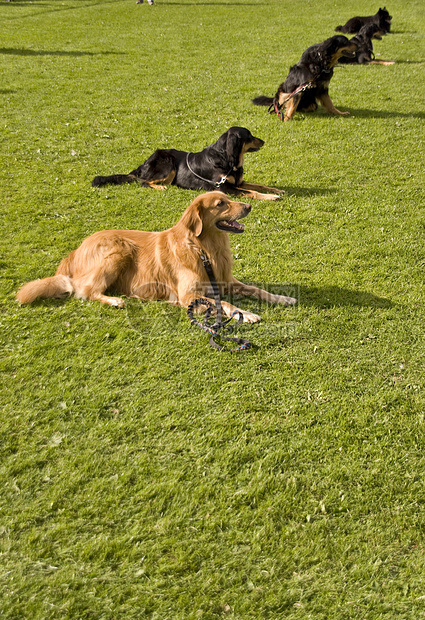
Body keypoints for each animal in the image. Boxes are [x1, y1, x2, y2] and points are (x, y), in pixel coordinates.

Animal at [16, 191, 294, 322]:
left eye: (228, 198)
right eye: (220, 204)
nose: (249, 206)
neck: (204, 249)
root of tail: (74, 253)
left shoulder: (226, 281)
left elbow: (256, 289)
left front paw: (282, 298)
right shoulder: (188, 295)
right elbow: (224, 303)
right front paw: (246, 314)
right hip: (119, 250)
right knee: (85, 291)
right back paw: (115, 300)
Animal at [93, 126, 284, 201]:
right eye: (249, 136)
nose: (263, 141)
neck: (228, 160)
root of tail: (143, 164)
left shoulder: (238, 182)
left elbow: (259, 185)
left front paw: (276, 190)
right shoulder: (223, 187)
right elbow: (251, 192)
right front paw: (271, 197)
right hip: (167, 164)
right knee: (143, 182)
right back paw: (159, 187)